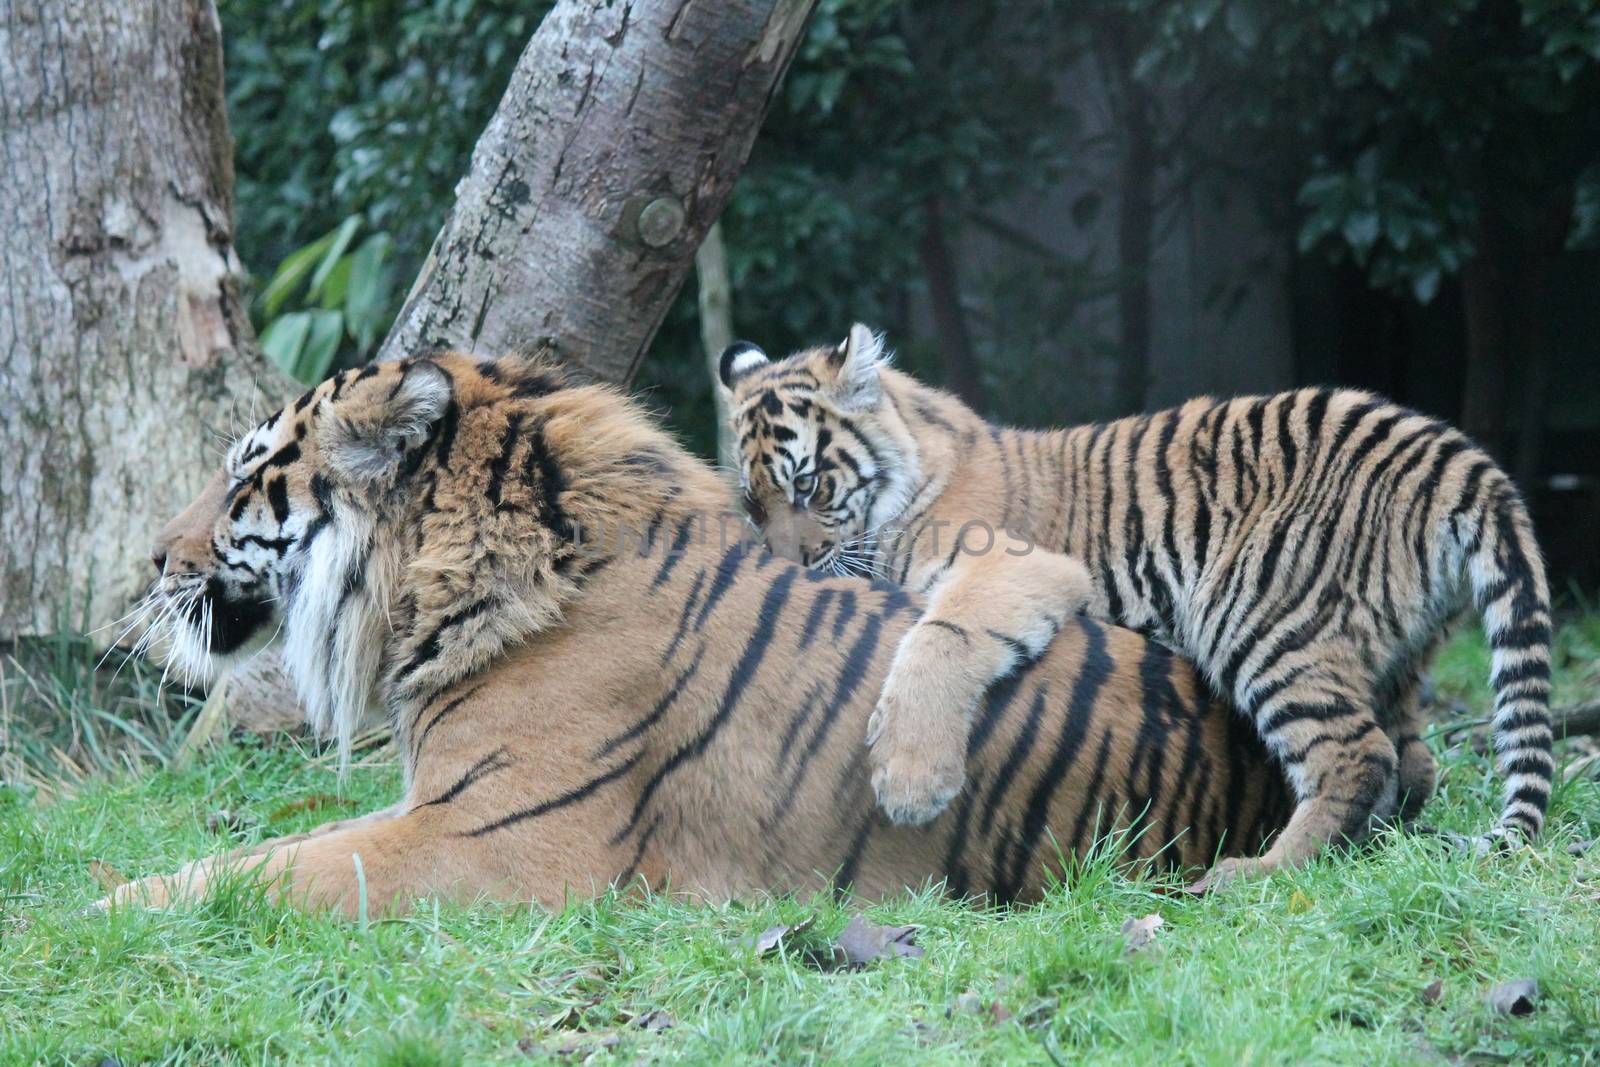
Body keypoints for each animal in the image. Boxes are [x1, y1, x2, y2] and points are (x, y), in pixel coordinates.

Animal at [100, 351, 1286, 921]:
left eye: (244, 477)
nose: (153, 557)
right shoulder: (435, 808)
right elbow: (248, 857)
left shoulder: (494, 835)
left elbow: (265, 873)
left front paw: (98, 905)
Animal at [720, 327, 1555, 895]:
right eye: (753, 502)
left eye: (808, 486)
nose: (785, 564)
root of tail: (1443, 449)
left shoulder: (1019, 565)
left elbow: (939, 638)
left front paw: (910, 780)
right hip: (1394, 652)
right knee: (1413, 759)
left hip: (1256, 617)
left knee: (1358, 754)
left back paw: (1256, 874)